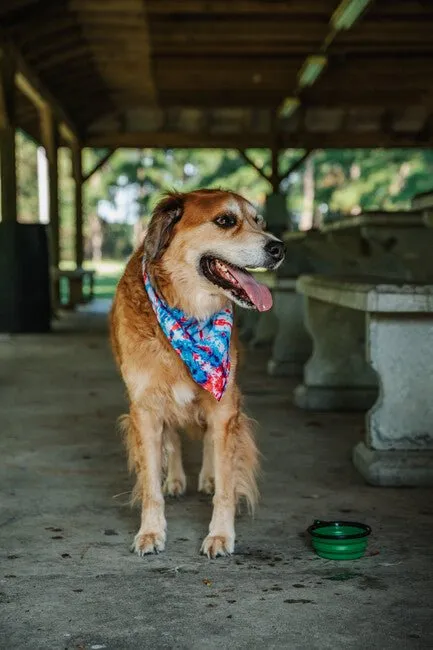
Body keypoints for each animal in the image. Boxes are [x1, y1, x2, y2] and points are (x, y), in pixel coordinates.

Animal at [109, 189, 284, 556]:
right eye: (225, 220)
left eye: (258, 221)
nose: (279, 248)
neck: (188, 313)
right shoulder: (145, 409)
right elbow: (151, 484)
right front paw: (151, 531)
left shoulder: (224, 405)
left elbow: (226, 484)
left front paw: (220, 534)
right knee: (174, 437)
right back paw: (176, 479)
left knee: (208, 440)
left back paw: (208, 476)